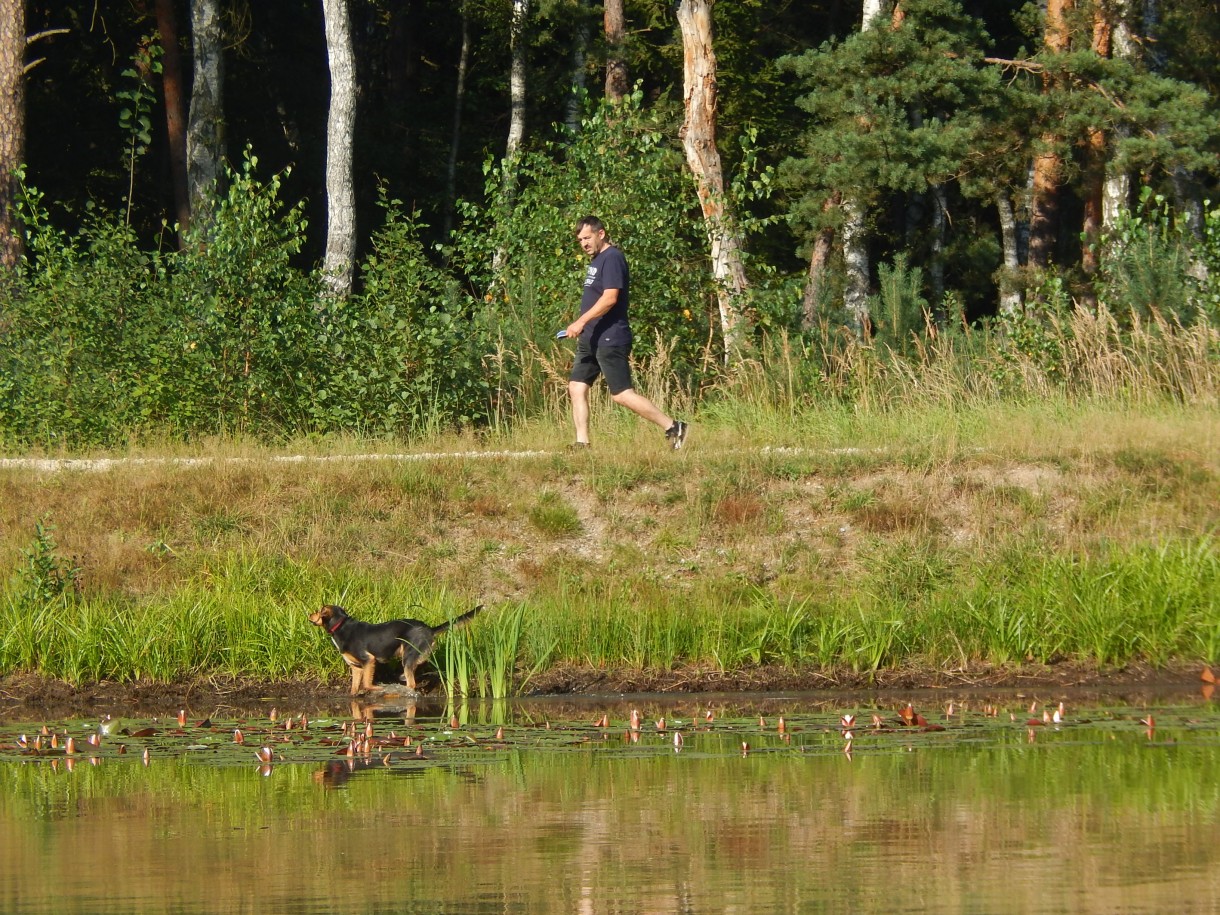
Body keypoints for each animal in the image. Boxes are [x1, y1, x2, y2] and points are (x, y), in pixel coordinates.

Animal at [307, 602, 483, 692]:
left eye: (319, 610)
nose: (309, 614)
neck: (341, 625)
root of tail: (430, 629)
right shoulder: (356, 667)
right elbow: (354, 689)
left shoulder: (368, 660)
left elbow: (366, 683)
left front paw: (375, 688)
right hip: (411, 654)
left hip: (408, 655)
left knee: (412, 683)